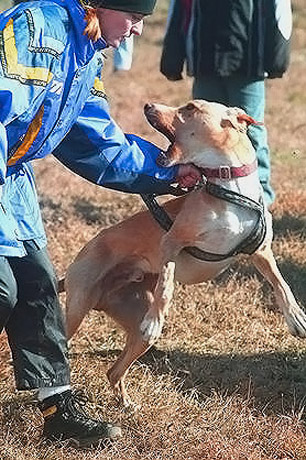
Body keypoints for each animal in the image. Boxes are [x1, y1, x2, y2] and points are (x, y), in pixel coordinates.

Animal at [62, 99, 306, 406]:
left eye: (190, 107)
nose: (148, 104)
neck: (230, 189)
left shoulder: (260, 251)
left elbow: (281, 284)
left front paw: (296, 317)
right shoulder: (171, 242)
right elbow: (166, 285)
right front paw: (155, 319)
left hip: (136, 334)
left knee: (114, 370)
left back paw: (125, 403)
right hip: (77, 308)